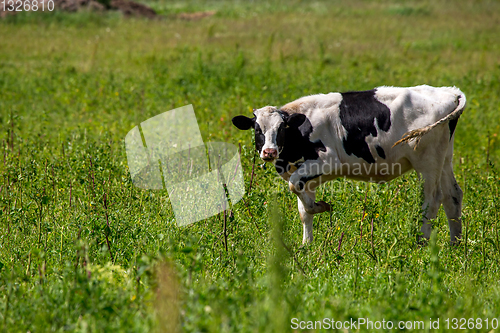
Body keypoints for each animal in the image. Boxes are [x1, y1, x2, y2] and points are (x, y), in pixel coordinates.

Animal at [232, 83, 466, 244]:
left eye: (282, 128)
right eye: (257, 129)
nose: (269, 152)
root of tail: (449, 92)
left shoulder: (327, 161)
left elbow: (294, 186)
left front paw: (321, 206)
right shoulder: (306, 175)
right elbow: (303, 210)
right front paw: (306, 245)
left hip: (427, 161)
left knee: (432, 200)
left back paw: (421, 243)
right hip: (444, 157)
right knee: (452, 196)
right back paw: (454, 245)